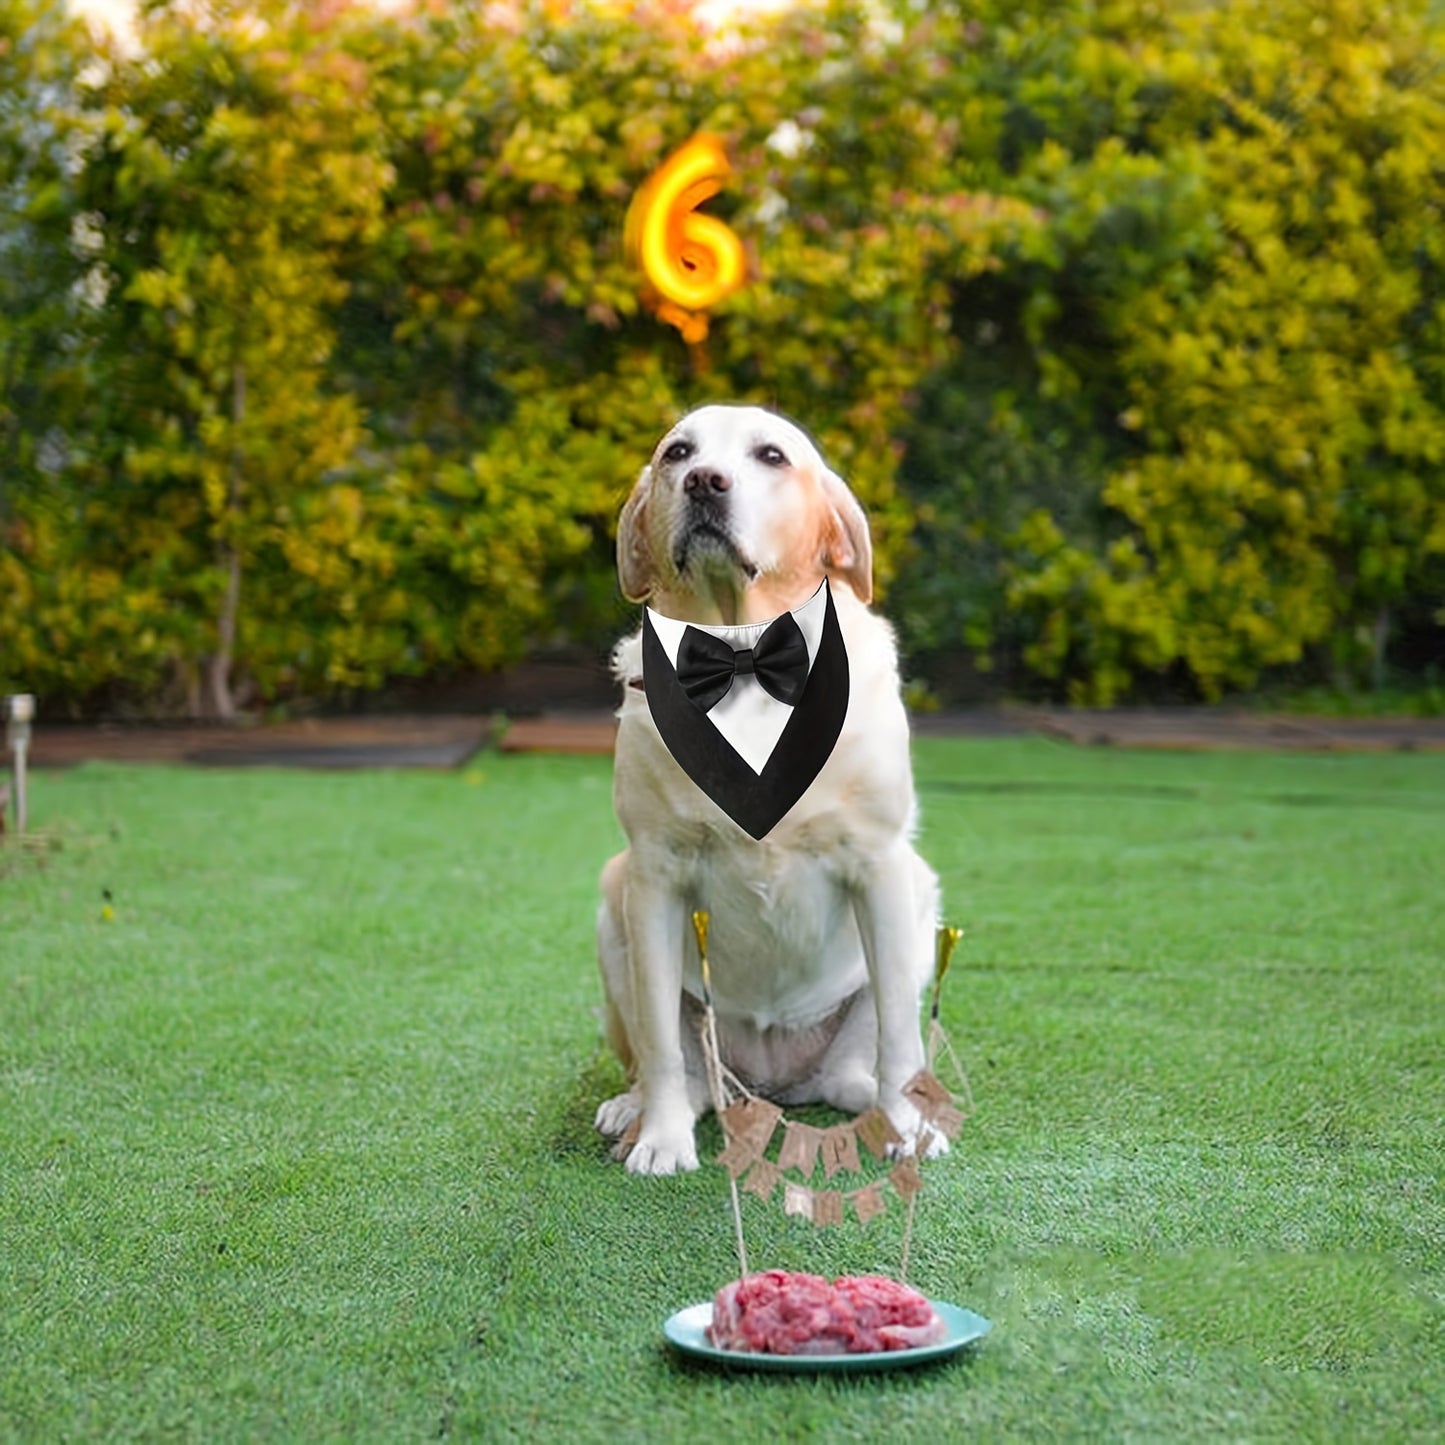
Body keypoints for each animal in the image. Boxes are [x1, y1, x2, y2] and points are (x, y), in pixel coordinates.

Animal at [595, 404, 942, 1173]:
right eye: (677, 452)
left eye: (772, 456)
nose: (703, 481)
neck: (743, 652)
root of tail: (774, 1084)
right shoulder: (655, 874)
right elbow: (662, 1045)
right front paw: (663, 1138)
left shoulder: (878, 865)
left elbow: (902, 1036)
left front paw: (907, 1126)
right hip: (614, 908)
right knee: (673, 1065)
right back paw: (636, 1109)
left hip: (918, 903)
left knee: (866, 1056)